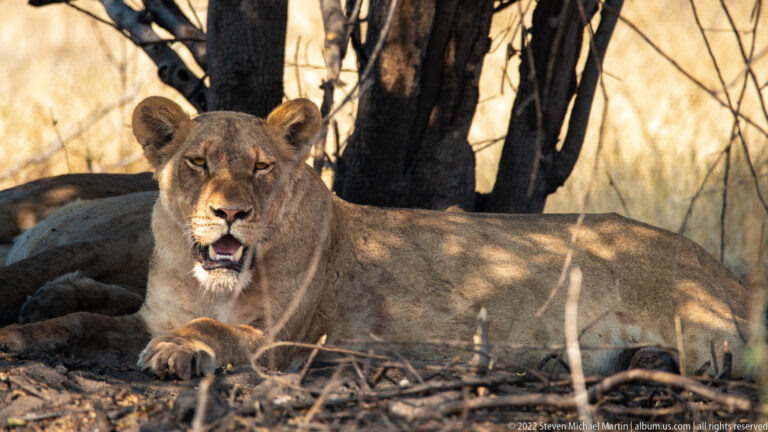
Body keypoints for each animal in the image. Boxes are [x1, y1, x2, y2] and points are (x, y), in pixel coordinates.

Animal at [0, 96, 751, 379]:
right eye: (198, 162)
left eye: (261, 167)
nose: (229, 214)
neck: (203, 278)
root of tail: (718, 266)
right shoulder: (148, 314)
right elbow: (77, 323)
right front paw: (18, 336)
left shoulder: (289, 339)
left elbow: (215, 332)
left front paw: (180, 352)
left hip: (697, 311)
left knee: (725, 351)